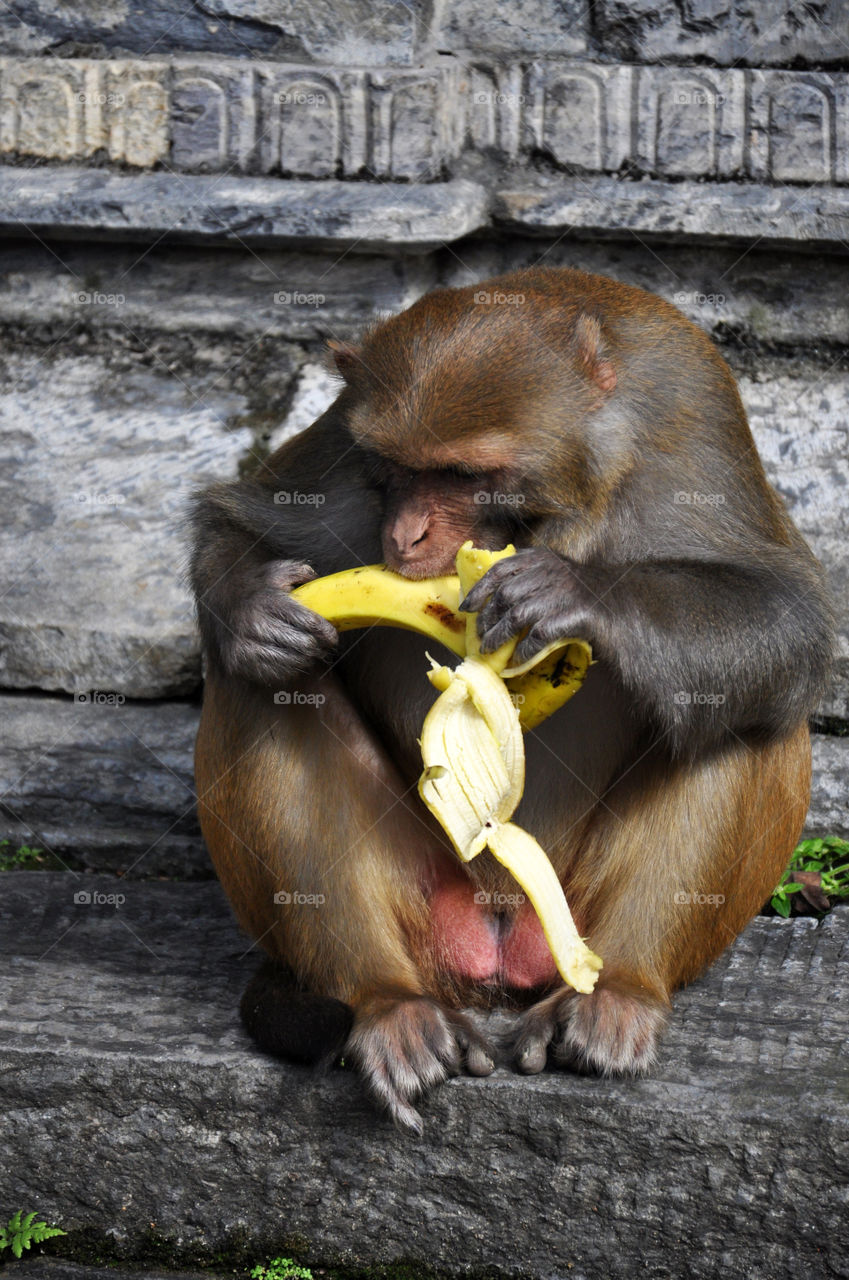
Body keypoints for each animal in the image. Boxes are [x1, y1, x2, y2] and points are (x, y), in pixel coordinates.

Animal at [189, 266, 833, 1133]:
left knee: (742, 709)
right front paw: (250, 609)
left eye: (467, 476)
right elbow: (240, 524)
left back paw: (621, 991)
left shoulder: (694, 418)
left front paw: (577, 594)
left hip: (573, 905)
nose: (407, 536)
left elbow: (789, 616)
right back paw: (386, 1004)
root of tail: (500, 935)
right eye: (396, 467)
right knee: (265, 690)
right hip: (430, 897)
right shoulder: (342, 456)